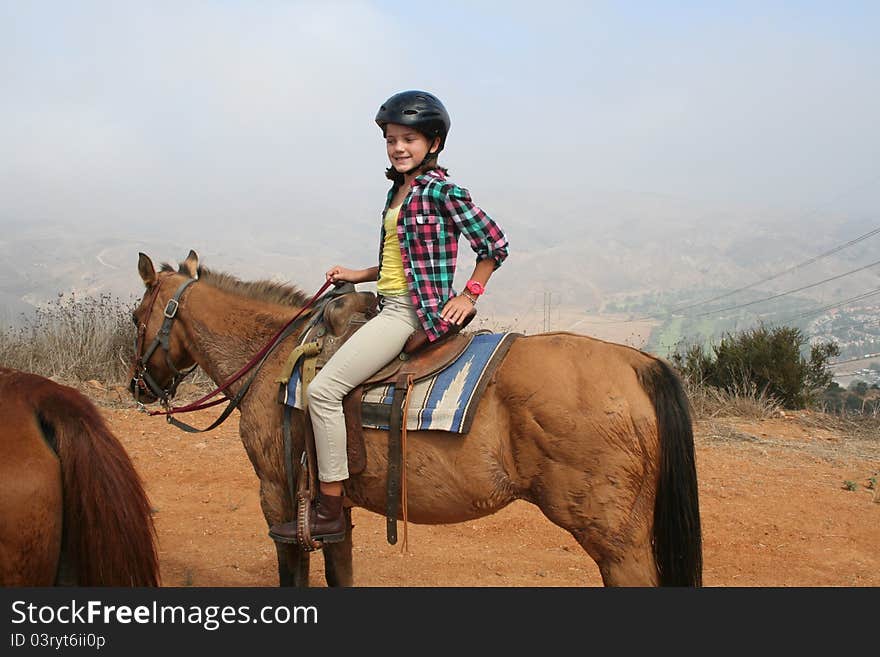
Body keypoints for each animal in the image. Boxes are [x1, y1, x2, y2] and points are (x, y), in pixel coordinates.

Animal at [131, 250, 704, 584]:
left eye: (137, 318)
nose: (138, 386)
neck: (278, 357)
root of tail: (637, 364)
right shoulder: (332, 502)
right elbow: (339, 566)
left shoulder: (277, 490)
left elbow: (293, 571)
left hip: (617, 544)